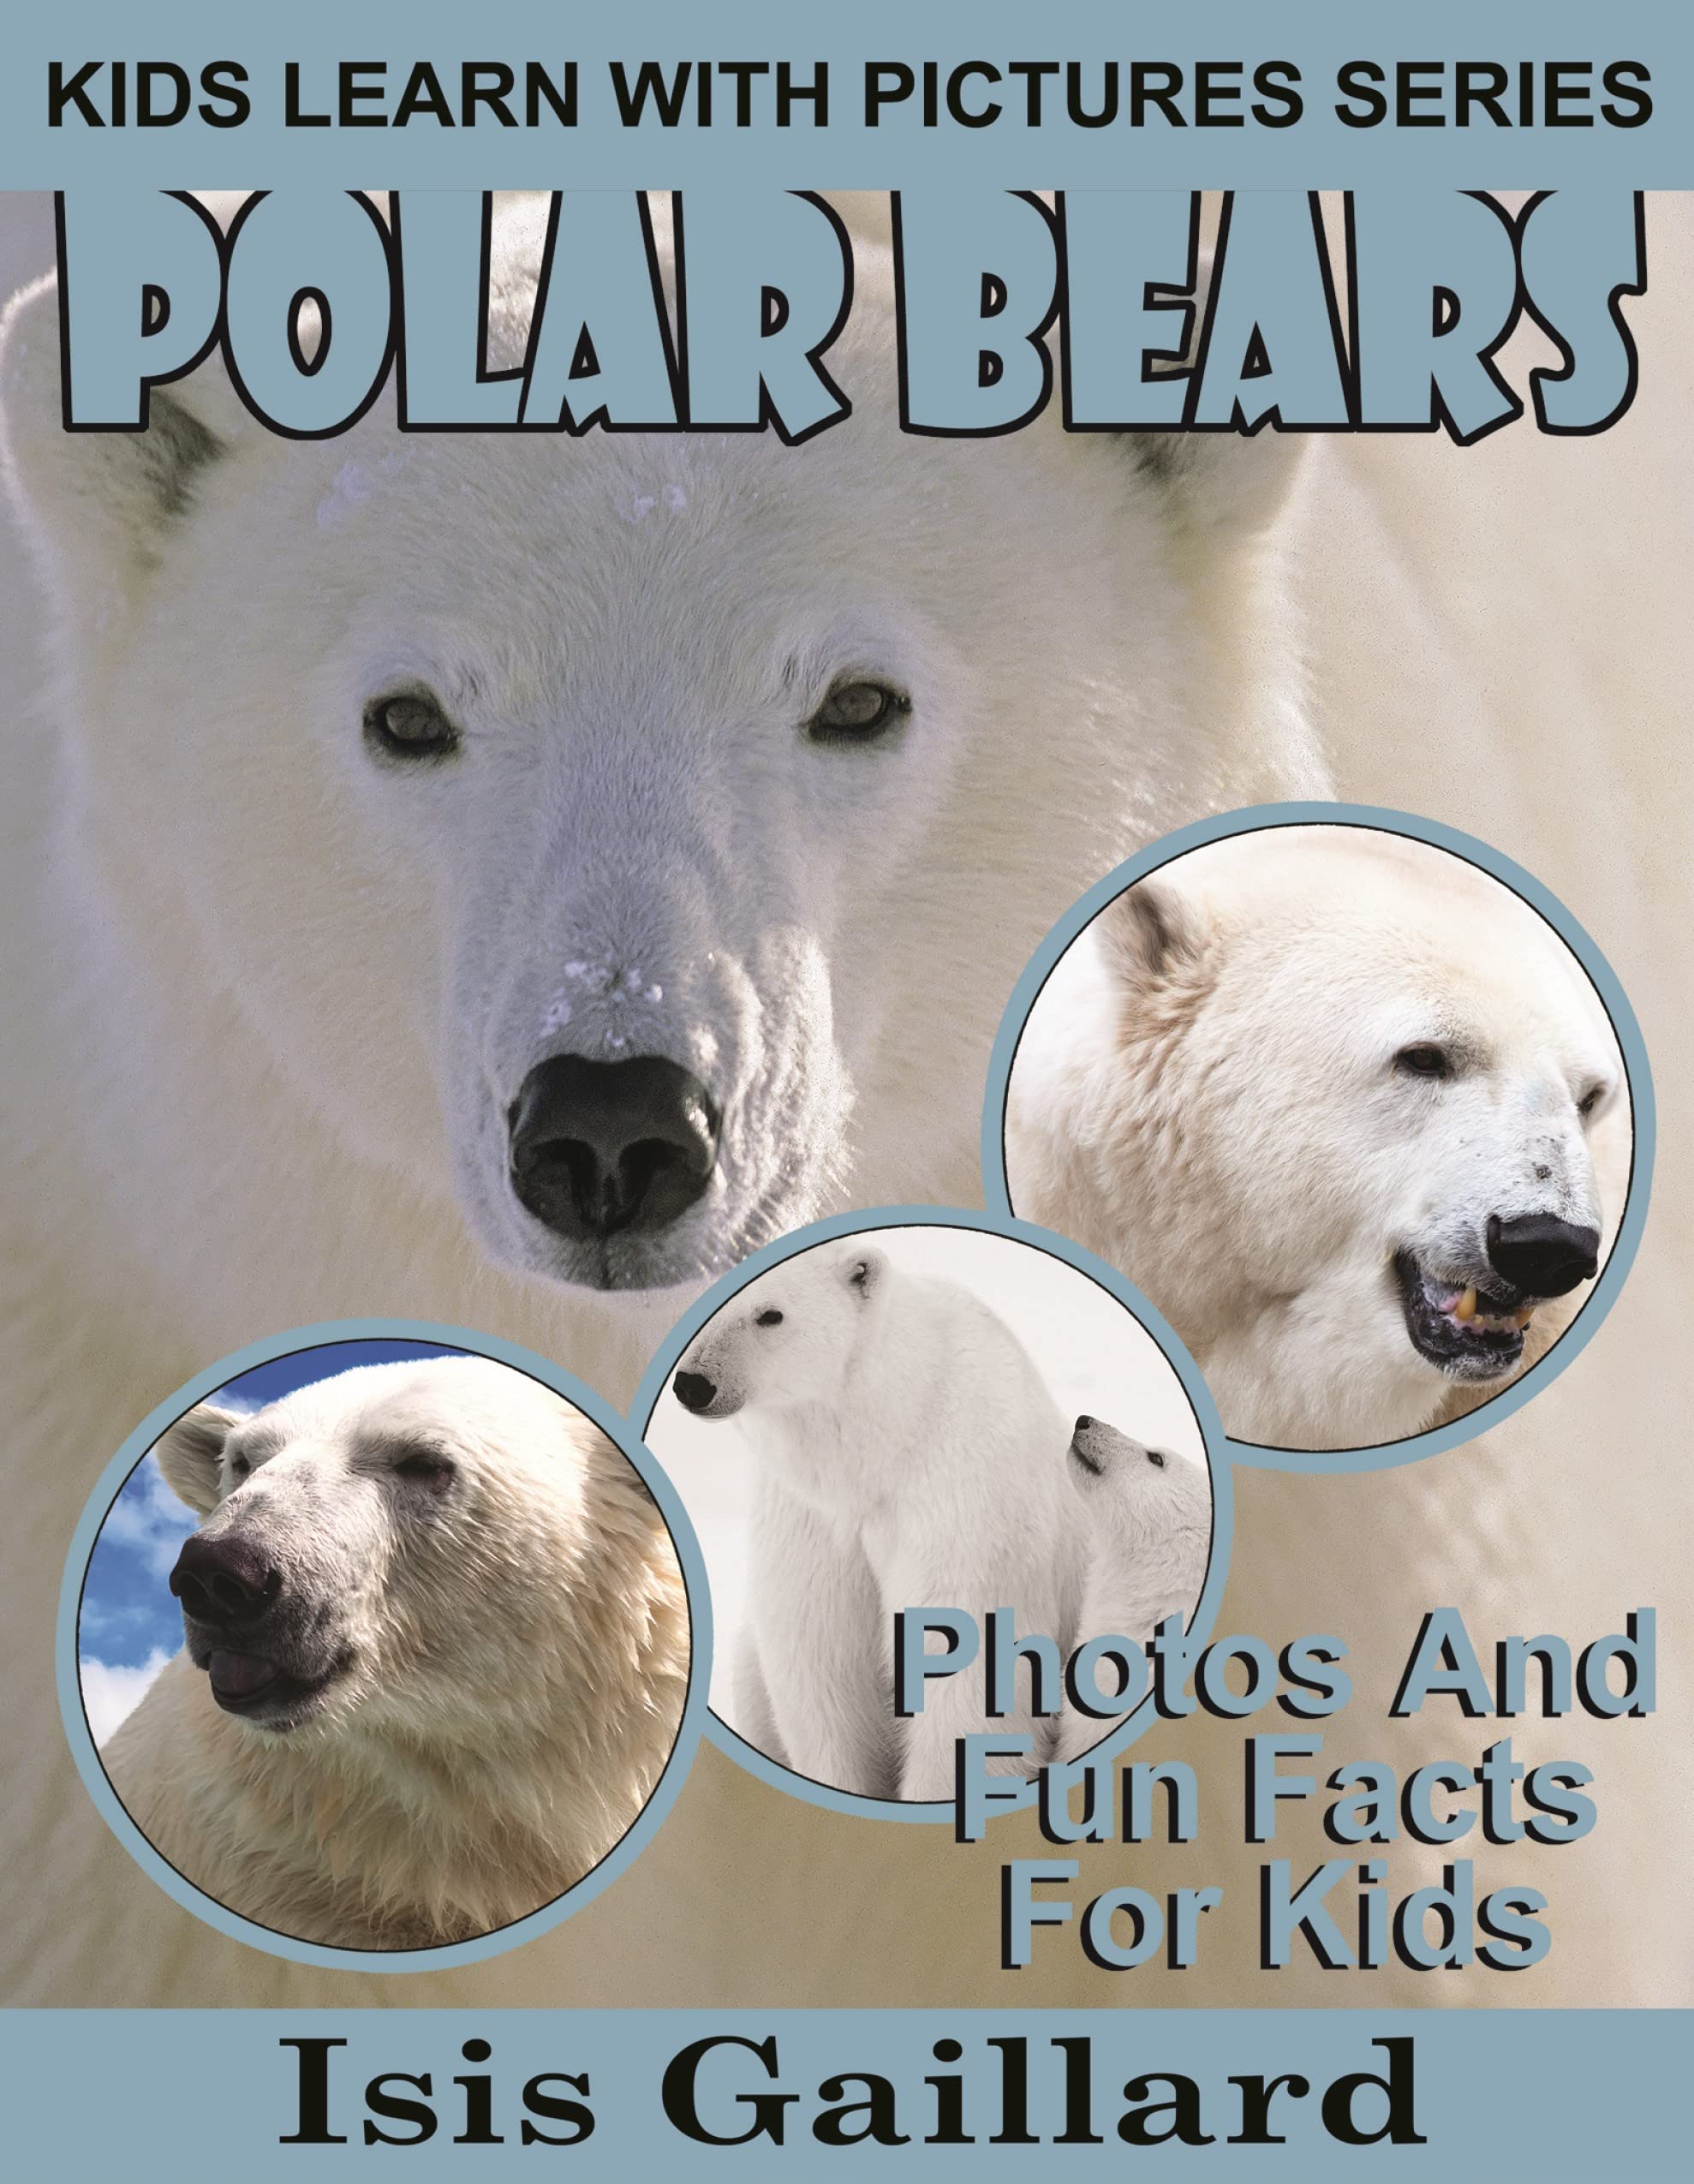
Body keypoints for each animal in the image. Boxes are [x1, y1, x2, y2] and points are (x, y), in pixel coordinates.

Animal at [660, 1239, 1087, 1801]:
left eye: (770, 1314)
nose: (694, 1384)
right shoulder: (810, 1515)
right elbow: (821, 1654)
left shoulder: (965, 1489)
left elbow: (964, 1658)